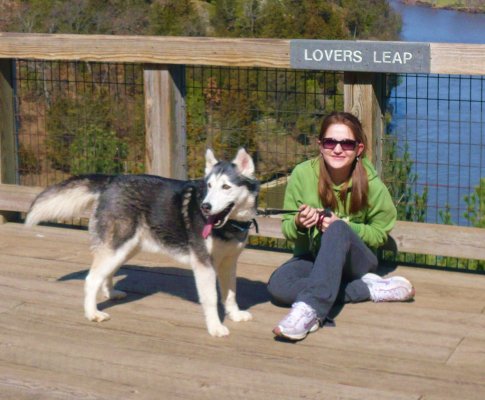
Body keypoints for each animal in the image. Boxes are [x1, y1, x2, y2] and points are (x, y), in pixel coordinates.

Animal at [26, 148, 260, 336]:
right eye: (209, 186)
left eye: (226, 187)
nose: (205, 206)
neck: (230, 225)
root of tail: (113, 179)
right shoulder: (204, 265)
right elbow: (211, 298)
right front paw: (215, 327)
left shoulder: (229, 263)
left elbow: (230, 294)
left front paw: (234, 314)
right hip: (117, 247)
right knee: (91, 279)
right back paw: (92, 313)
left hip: (126, 249)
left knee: (106, 273)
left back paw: (111, 293)